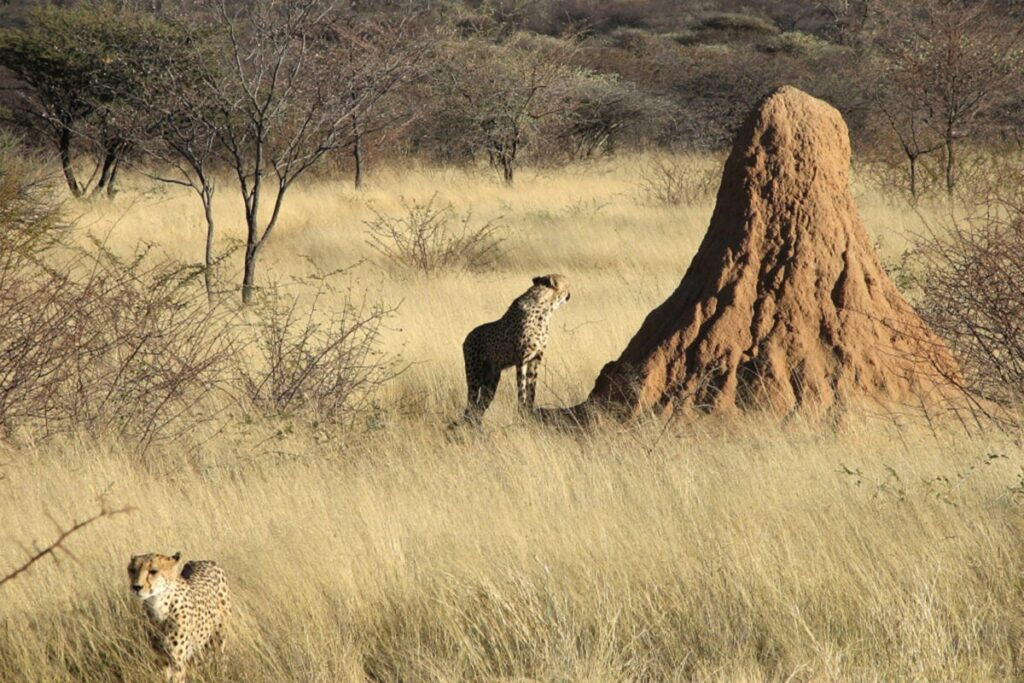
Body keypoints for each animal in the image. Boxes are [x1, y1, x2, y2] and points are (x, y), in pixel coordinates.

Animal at [462, 272, 573, 421]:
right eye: (567, 284)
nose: (570, 294)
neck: (545, 308)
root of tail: (467, 337)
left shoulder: (535, 358)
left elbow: (531, 388)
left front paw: (529, 410)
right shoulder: (521, 360)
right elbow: (522, 388)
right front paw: (522, 412)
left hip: (491, 380)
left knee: (480, 407)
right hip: (474, 376)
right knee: (471, 405)